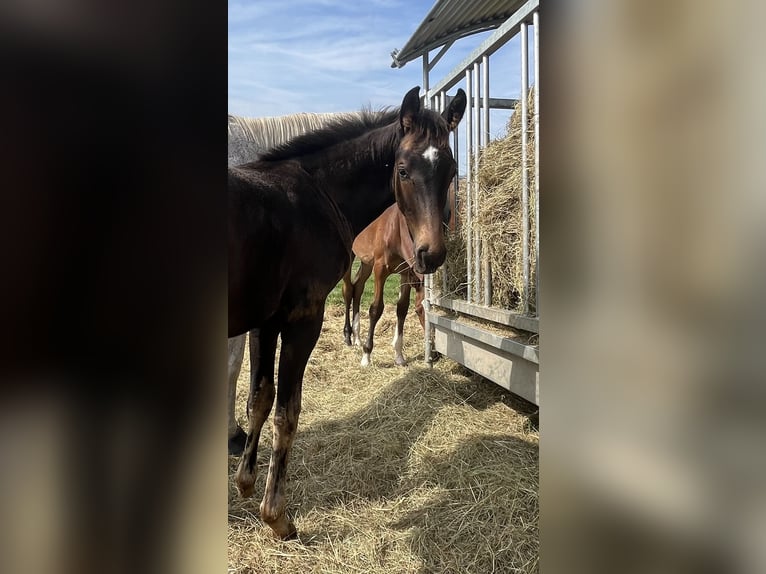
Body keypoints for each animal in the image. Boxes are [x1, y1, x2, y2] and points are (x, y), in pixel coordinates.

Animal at [342, 205, 426, 368]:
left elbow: (402, 308)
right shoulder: (380, 269)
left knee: (358, 287)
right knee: (348, 290)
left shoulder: (405, 272)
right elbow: (376, 309)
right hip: (352, 258)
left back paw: (357, 338)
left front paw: (399, 356)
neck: (396, 231)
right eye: (419, 310)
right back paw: (348, 336)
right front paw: (366, 356)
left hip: (366, 262)